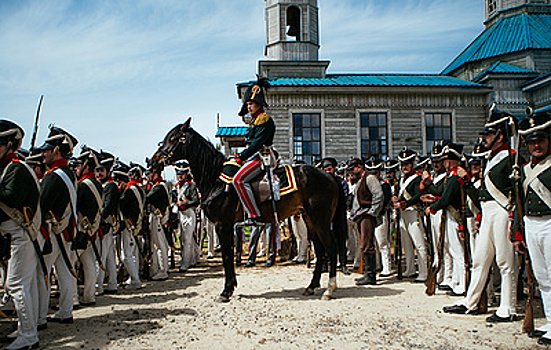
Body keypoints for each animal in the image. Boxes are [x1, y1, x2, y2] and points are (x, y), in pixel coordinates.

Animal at [149, 119, 348, 302]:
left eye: (173, 138)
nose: (152, 161)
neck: (215, 179)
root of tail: (329, 175)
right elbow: (229, 255)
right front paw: (230, 287)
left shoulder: (223, 225)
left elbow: (227, 255)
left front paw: (226, 291)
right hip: (310, 220)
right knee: (320, 251)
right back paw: (311, 286)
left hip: (321, 220)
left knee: (331, 248)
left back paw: (329, 289)